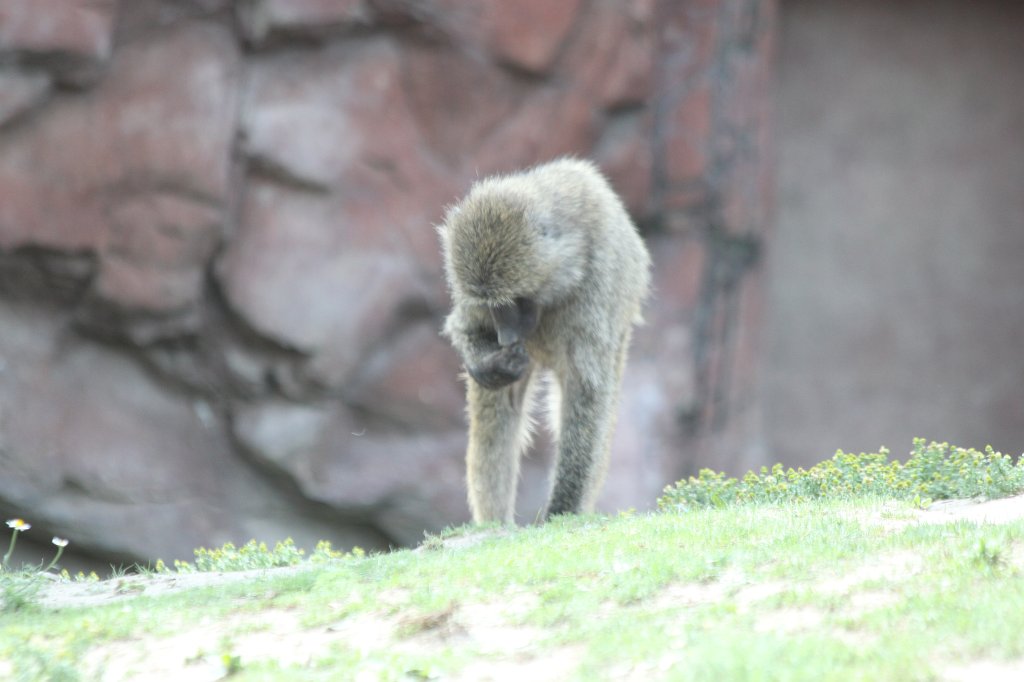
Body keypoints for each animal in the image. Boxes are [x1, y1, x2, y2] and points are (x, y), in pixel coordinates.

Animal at [437, 158, 652, 524]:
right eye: (493, 307)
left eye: (517, 301)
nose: (507, 336)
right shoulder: (471, 292)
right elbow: (462, 328)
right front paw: (490, 364)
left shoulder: (597, 282)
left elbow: (587, 390)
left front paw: (561, 510)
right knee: (497, 410)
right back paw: (495, 523)